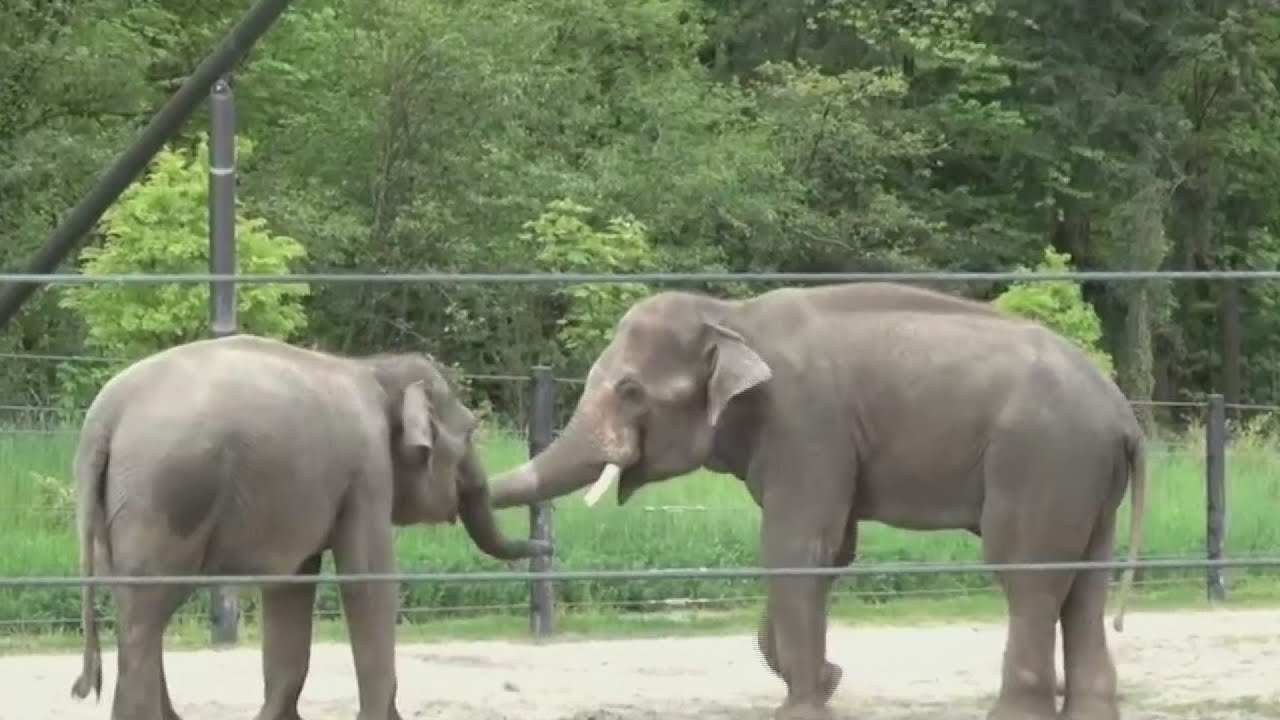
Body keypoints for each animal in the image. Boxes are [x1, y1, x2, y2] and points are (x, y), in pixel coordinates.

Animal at [67, 334, 551, 720]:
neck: (374, 367)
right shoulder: (368, 471)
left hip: (120, 505)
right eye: (469, 434)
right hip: (168, 495)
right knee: (145, 617)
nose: (547, 548)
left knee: (136, 612)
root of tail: (104, 417)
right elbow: (368, 580)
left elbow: (291, 586)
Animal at [488, 282, 1146, 720]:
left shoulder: (804, 425)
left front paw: (804, 706)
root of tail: (1123, 416)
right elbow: (831, 551)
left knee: (1027, 575)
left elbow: (795, 546)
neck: (732, 317)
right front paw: (827, 681)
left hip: (1043, 459)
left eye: (629, 390)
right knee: (1084, 583)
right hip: (1086, 478)